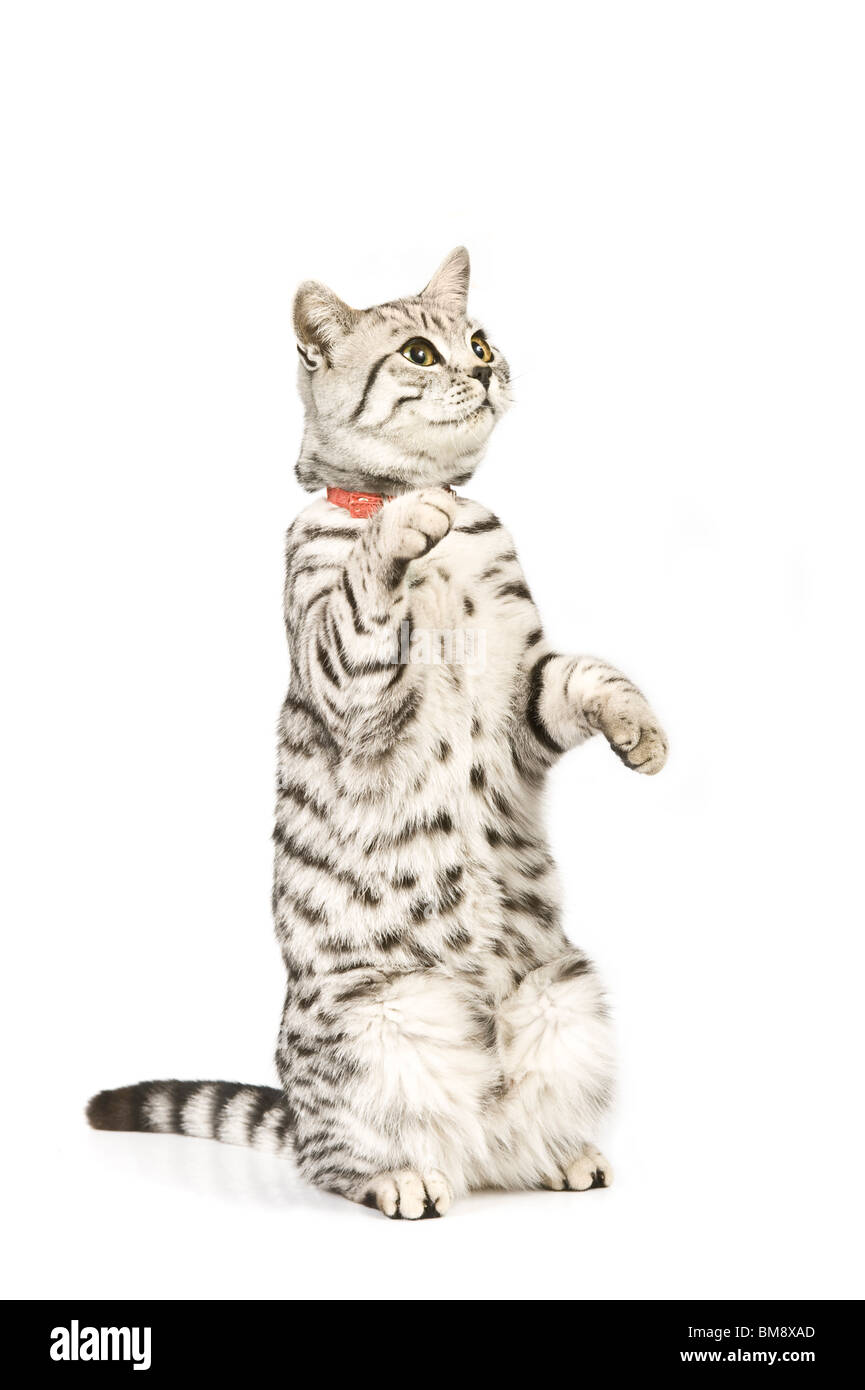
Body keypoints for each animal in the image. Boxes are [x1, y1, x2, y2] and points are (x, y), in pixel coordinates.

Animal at [88, 247, 670, 1217]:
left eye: (479, 340)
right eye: (420, 355)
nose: (483, 370)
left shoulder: (525, 698)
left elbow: (586, 676)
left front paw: (640, 730)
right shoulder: (347, 677)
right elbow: (368, 577)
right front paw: (401, 524)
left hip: (567, 997)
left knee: (509, 1137)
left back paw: (554, 1152)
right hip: (376, 1022)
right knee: (337, 1155)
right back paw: (404, 1175)